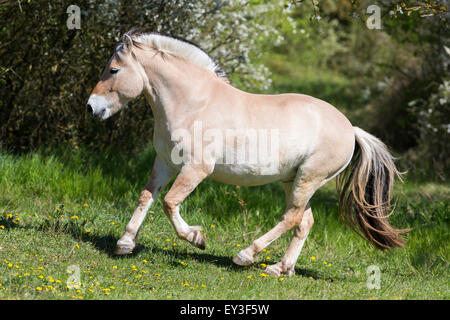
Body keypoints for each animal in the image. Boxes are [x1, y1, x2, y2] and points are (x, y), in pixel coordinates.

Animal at [85, 28, 408, 276]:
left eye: (113, 70)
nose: (91, 107)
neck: (193, 102)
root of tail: (351, 129)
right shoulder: (164, 162)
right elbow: (146, 196)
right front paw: (125, 243)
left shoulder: (196, 169)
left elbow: (168, 202)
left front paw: (197, 238)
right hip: (294, 180)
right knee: (304, 222)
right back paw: (280, 269)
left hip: (308, 179)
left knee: (291, 218)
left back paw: (245, 256)